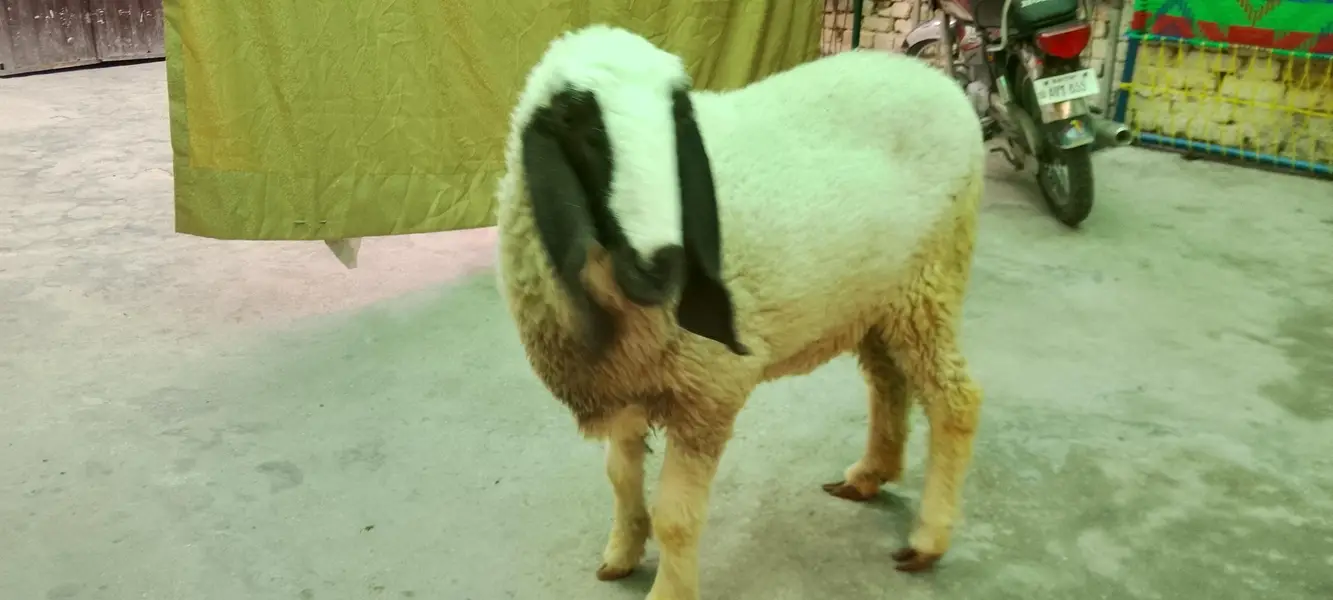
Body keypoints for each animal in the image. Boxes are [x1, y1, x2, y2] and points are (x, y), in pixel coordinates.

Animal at [494, 24, 987, 600]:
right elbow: (620, 477)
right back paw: (869, 474)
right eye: (582, 125)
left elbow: (676, 517)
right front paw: (620, 552)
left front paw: (667, 589)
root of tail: (934, 79)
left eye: (679, 119)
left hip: (931, 280)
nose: (665, 262)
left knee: (955, 402)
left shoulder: (708, 388)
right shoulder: (627, 380)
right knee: (888, 382)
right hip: (877, 300)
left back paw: (928, 538)